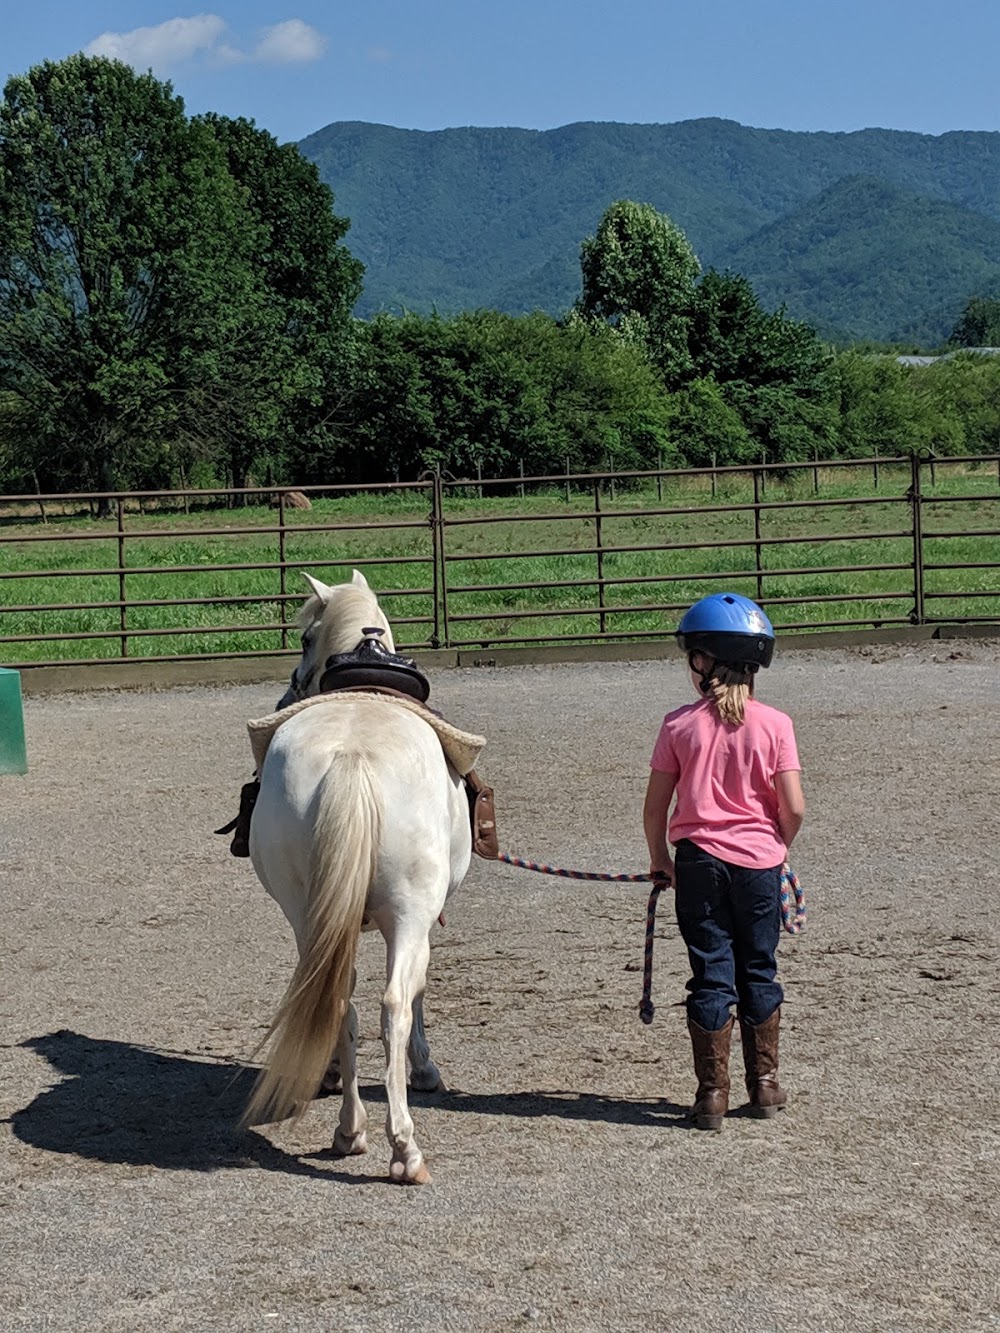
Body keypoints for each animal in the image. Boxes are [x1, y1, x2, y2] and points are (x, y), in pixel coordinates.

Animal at [245, 567, 474, 1183]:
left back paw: (350, 1130)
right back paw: (402, 1146)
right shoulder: (423, 921)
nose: (288, 692)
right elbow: (417, 993)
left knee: (339, 1003)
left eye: (304, 639)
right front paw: (424, 1069)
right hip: (409, 914)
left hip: (306, 913)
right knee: (391, 1005)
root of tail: (352, 755)